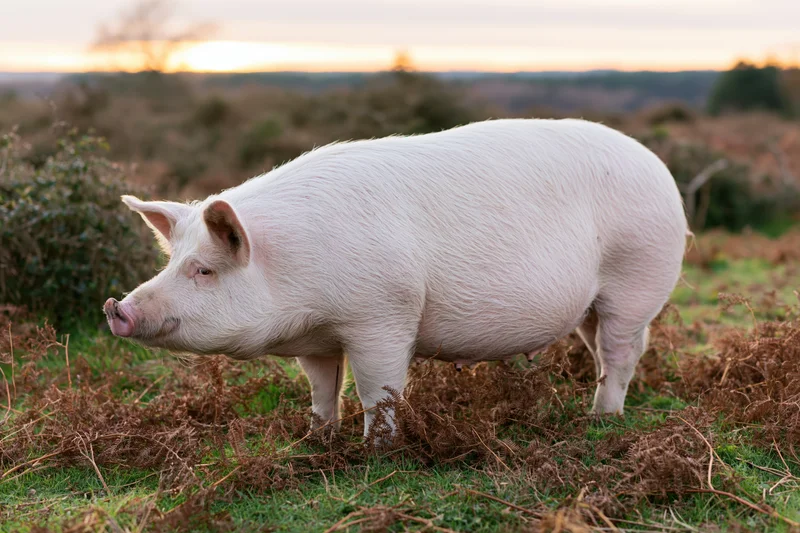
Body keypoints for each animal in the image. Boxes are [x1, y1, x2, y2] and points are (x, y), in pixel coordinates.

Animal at [104, 118, 688, 437]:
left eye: (204, 269)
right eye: (170, 262)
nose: (117, 307)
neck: (293, 272)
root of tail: (661, 169)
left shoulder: (383, 314)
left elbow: (376, 389)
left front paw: (375, 451)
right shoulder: (316, 340)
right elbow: (322, 388)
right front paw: (317, 438)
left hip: (636, 278)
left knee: (623, 352)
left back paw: (601, 420)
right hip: (592, 302)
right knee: (599, 348)